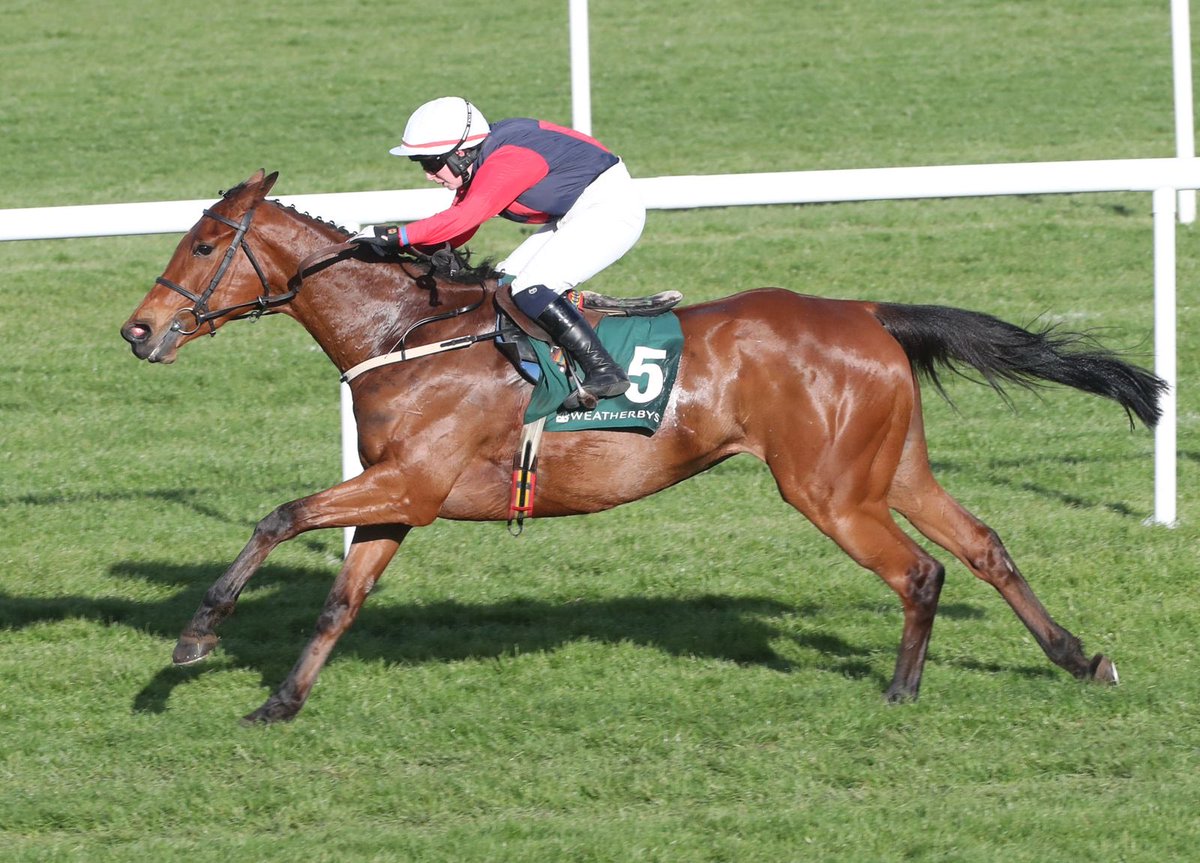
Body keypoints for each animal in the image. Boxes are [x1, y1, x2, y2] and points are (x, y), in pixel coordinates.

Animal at [121, 170, 1165, 723]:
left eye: (206, 245)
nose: (138, 331)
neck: (406, 332)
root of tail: (866, 310)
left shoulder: (405, 481)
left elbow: (277, 517)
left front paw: (194, 637)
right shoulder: (399, 495)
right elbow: (342, 597)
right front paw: (280, 702)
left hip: (829, 488)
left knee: (919, 571)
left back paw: (903, 689)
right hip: (889, 468)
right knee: (983, 546)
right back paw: (1078, 658)